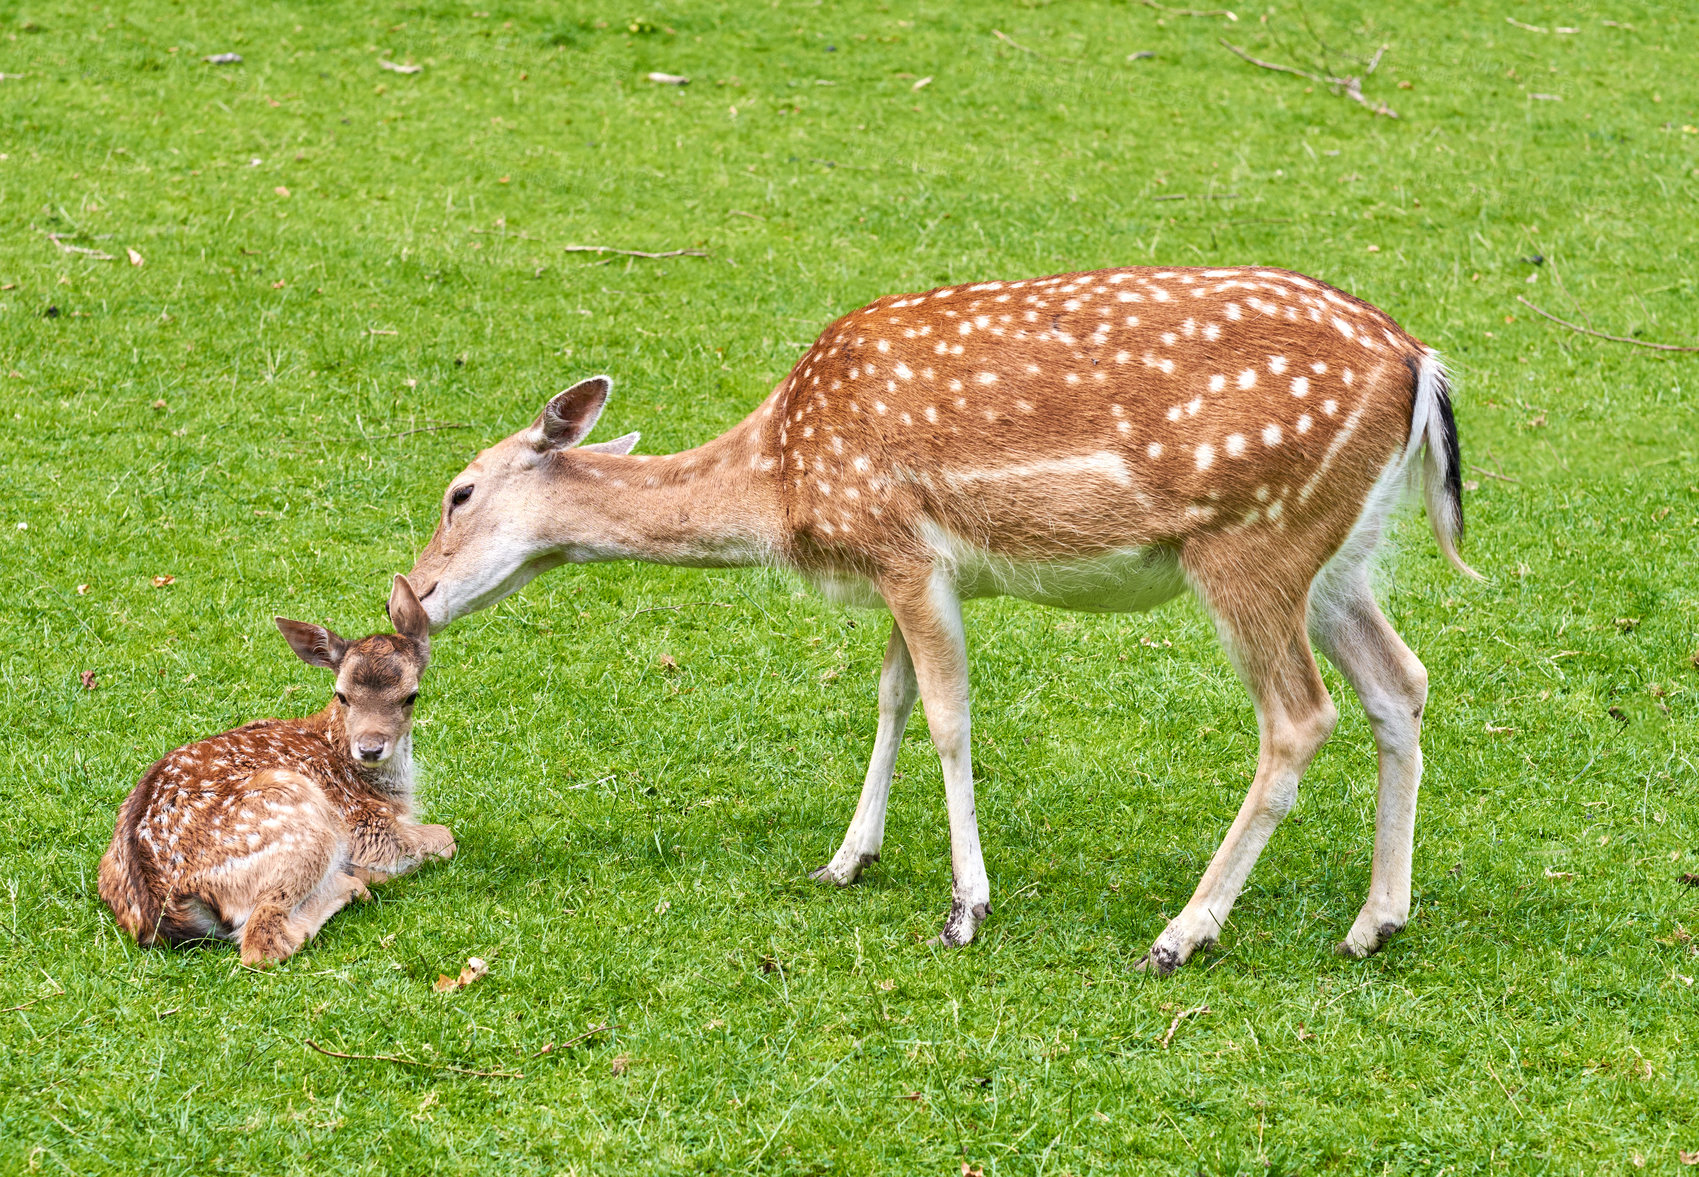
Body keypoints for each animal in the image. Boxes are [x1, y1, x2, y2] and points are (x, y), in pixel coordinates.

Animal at [407, 268, 1474, 971]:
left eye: (459, 492)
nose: (406, 595)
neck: (783, 480)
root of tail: (1421, 366)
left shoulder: (903, 546)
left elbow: (948, 715)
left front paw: (967, 907)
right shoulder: (905, 566)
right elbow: (889, 698)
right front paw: (846, 858)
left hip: (1251, 541)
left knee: (1299, 716)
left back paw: (1182, 932)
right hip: (1337, 557)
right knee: (1401, 680)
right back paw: (1376, 921)